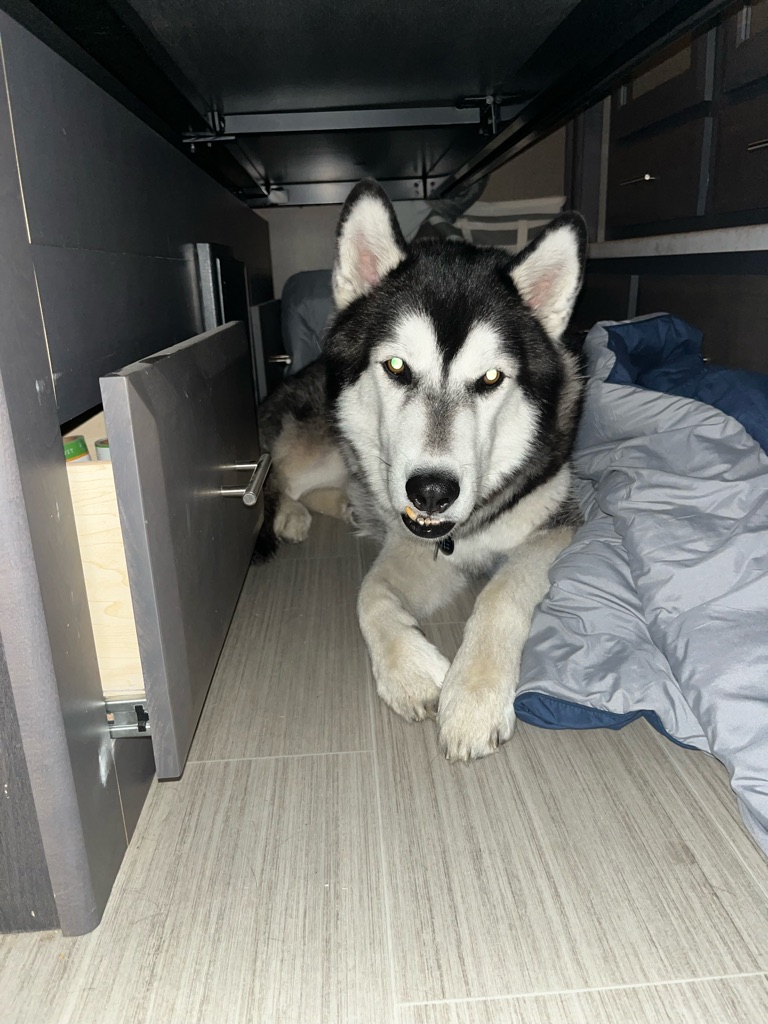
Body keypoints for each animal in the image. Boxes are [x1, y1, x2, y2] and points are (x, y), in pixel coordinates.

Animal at [257, 179, 587, 762]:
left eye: (491, 378)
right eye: (396, 366)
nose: (431, 492)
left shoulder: (557, 524)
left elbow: (502, 590)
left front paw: (474, 697)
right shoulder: (416, 548)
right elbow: (369, 594)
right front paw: (410, 675)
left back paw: (344, 506)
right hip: (325, 445)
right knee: (280, 475)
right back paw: (293, 515)